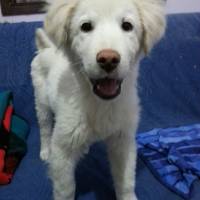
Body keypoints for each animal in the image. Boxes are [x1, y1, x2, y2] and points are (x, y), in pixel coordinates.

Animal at [31, 0, 166, 200]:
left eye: (127, 25)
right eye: (86, 26)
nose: (108, 59)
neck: (101, 103)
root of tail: (46, 48)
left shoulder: (123, 140)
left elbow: (126, 181)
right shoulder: (62, 149)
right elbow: (65, 189)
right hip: (42, 102)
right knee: (45, 128)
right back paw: (45, 151)